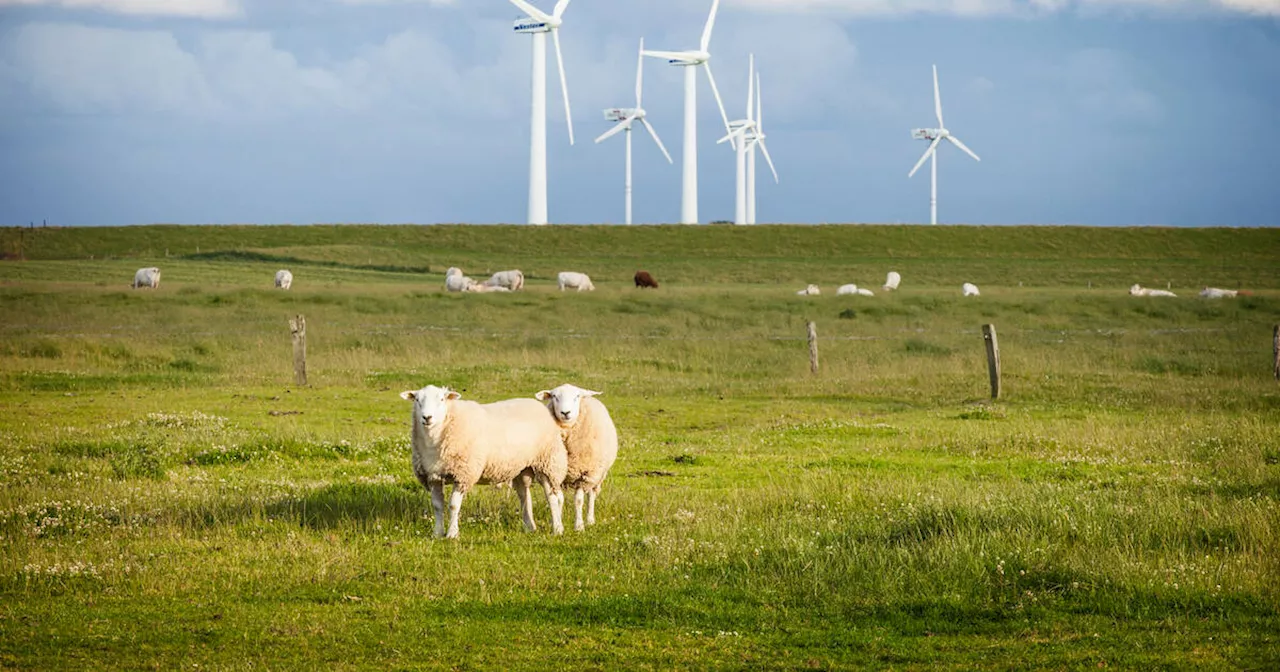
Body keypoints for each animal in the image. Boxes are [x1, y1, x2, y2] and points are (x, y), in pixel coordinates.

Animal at [394, 384, 565, 537]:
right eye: (417, 399)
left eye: (442, 399)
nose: (427, 417)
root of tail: (537, 404)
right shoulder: (433, 476)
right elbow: (437, 506)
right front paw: (437, 533)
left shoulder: (463, 474)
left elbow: (453, 505)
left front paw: (452, 534)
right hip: (521, 467)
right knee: (524, 495)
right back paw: (530, 527)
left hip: (547, 462)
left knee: (552, 497)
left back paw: (557, 529)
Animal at [535, 384, 619, 532]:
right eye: (554, 396)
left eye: (577, 396)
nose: (565, 412)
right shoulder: (549, 473)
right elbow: (555, 500)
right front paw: (557, 526)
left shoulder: (585, 474)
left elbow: (579, 500)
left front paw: (579, 526)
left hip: (597, 474)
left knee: (592, 494)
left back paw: (590, 520)